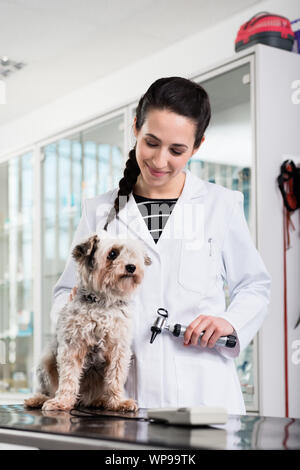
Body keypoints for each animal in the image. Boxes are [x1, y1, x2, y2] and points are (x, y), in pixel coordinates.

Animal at [24, 231, 151, 412]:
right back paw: (39, 399)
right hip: (46, 360)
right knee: (48, 389)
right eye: (113, 253)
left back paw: (99, 400)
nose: (132, 267)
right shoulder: (72, 347)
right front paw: (61, 401)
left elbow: (115, 377)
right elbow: (68, 378)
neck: (103, 303)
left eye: (133, 254)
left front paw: (118, 401)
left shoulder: (118, 349)